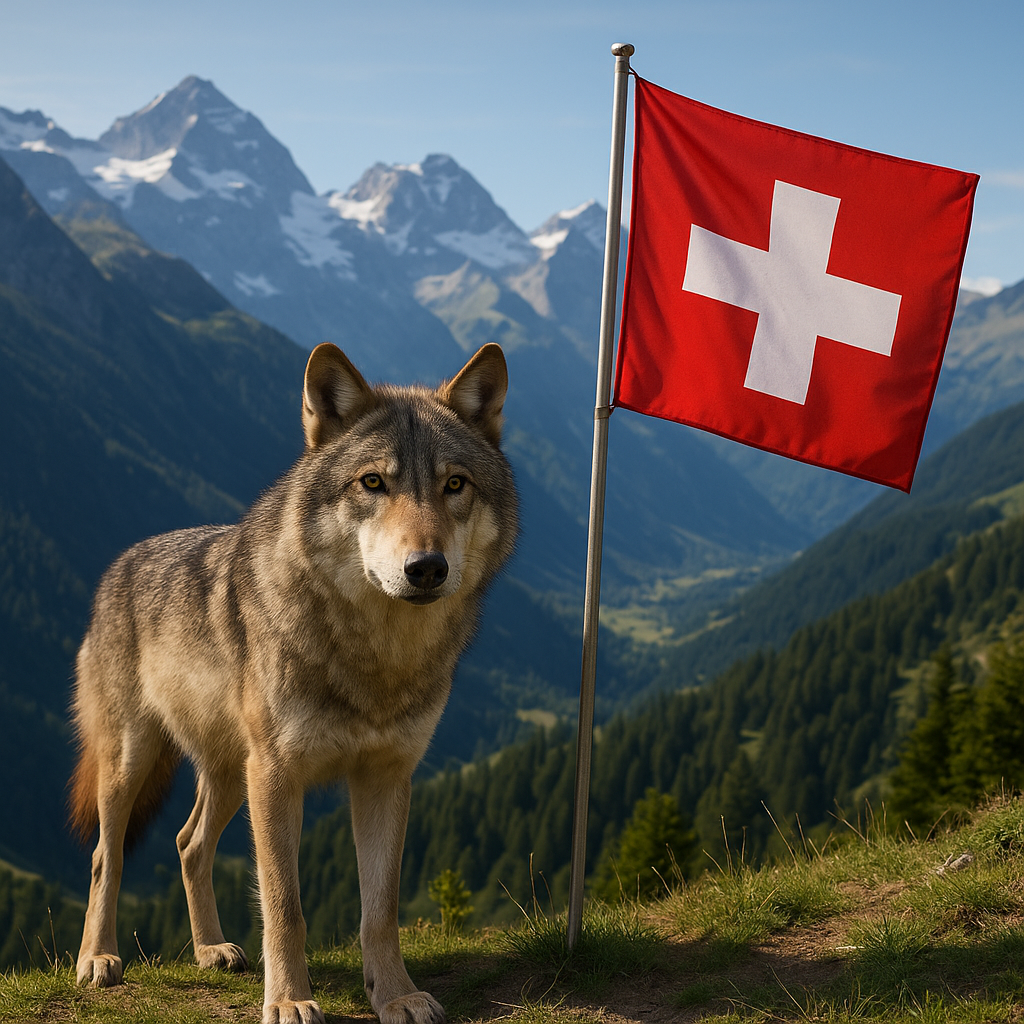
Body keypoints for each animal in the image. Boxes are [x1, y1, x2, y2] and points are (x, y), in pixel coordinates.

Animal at [68, 341, 518, 1024]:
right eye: (373, 482)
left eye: (455, 485)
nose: (426, 568)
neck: (374, 658)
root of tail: (117, 566)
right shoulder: (279, 776)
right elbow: (285, 906)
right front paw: (288, 1001)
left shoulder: (386, 776)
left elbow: (380, 911)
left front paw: (396, 995)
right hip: (135, 764)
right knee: (105, 855)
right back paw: (98, 959)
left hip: (233, 775)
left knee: (188, 843)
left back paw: (211, 951)